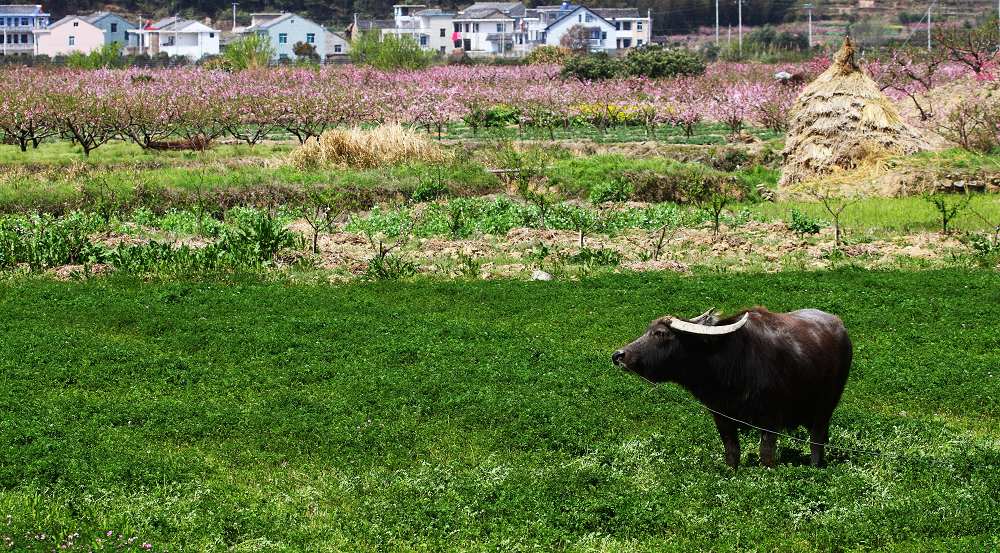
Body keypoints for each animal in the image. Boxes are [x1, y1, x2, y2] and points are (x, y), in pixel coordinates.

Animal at [608, 306, 852, 466]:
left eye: (660, 333)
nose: (619, 355)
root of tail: (840, 327)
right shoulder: (721, 416)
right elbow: (732, 451)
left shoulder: (771, 419)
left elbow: (766, 454)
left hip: (825, 408)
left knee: (816, 441)